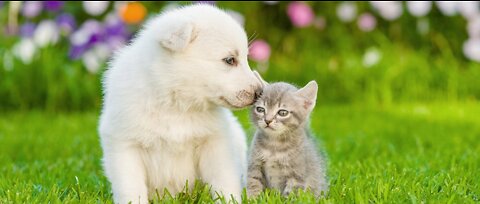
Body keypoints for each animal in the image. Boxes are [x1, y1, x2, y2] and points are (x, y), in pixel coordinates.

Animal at [98, 3, 262, 204]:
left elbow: (224, 180)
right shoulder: (124, 145)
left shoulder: (215, 143)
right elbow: (131, 187)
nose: (259, 92)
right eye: (230, 60)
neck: (176, 104)